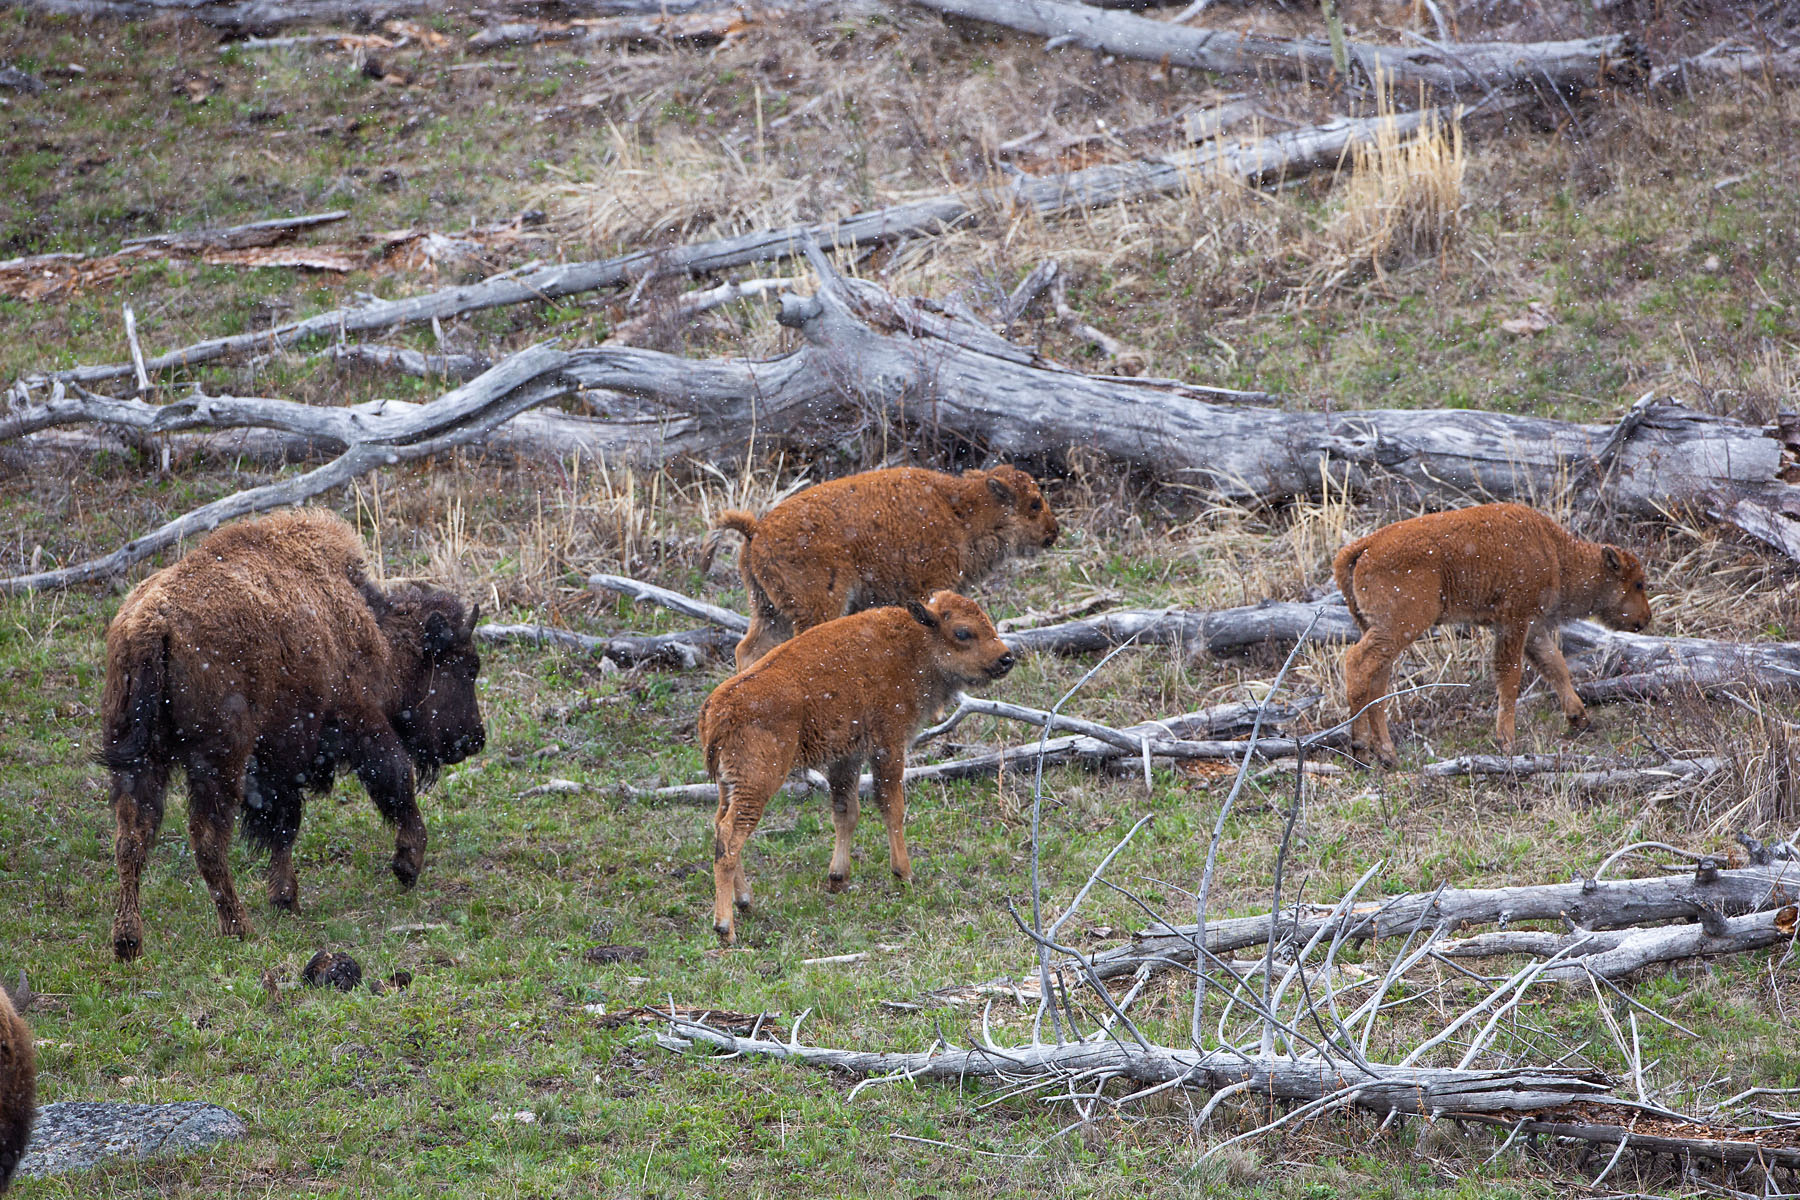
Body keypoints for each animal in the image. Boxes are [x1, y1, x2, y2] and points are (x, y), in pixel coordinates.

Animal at [100, 509, 486, 961]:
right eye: (466, 666)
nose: (475, 739)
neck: (369, 625)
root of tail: (152, 624)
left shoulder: (277, 765)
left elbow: (283, 825)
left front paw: (285, 898)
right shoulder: (358, 725)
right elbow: (395, 783)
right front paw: (407, 864)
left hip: (138, 759)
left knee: (131, 838)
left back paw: (128, 941)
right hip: (218, 760)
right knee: (206, 839)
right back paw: (238, 928)